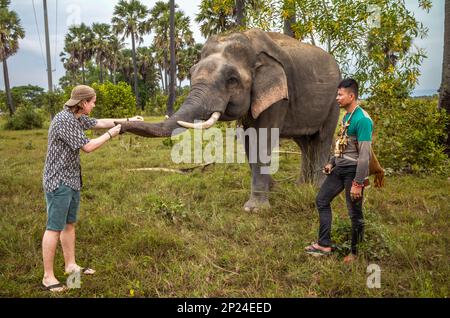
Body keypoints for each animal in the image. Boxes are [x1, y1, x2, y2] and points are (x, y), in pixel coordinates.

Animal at [116, 28, 342, 211]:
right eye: (191, 72)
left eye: (232, 80)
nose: (119, 127)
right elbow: (249, 141)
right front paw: (273, 190)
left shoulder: (278, 96)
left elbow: (263, 140)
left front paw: (254, 209)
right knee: (304, 142)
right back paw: (302, 185)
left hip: (334, 101)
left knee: (322, 138)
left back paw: (316, 188)